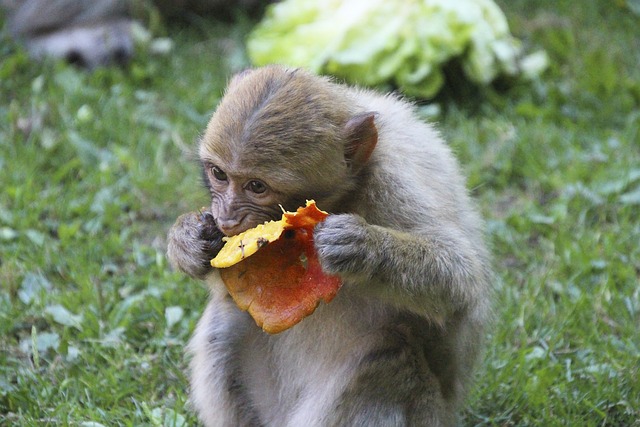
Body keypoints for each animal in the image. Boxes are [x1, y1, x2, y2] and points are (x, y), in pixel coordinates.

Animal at [168, 66, 492, 427]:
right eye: (219, 174)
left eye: (257, 186)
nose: (226, 218)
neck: (345, 194)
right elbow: (232, 286)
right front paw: (188, 241)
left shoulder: (395, 185)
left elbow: (462, 282)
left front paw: (365, 249)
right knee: (225, 321)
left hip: (429, 413)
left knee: (389, 352)